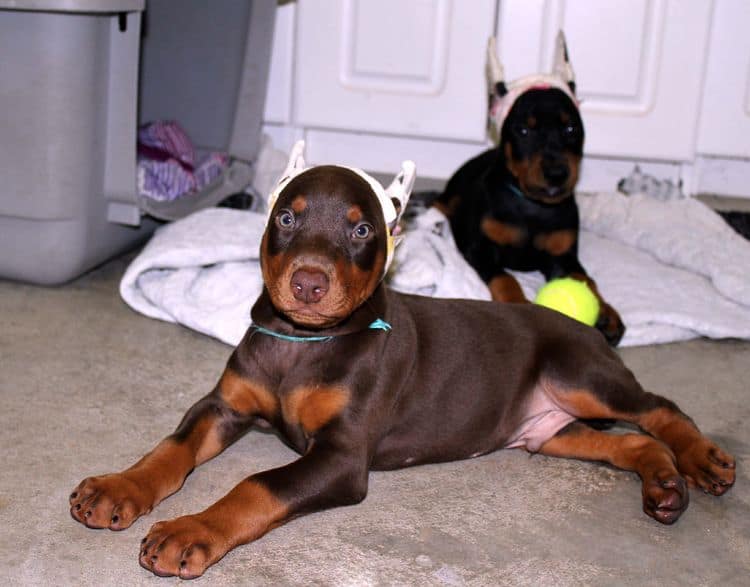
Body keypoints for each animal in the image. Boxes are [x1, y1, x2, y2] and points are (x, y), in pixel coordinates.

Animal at [67, 144, 736, 580]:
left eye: (363, 229)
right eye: (286, 216)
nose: (308, 283)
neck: (302, 345)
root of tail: (590, 333)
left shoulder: (342, 457)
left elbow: (257, 485)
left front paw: (191, 531)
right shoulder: (225, 404)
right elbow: (172, 448)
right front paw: (119, 487)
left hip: (580, 375)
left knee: (657, 408)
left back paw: (700, 460)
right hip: (549, 432)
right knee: (629, 442)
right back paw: (665, 486)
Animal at [438, 33, 624, 344]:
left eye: (571, 129)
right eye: (524, 131)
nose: (557, 174)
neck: (532, 207)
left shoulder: (563, 256)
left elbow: (586, 278)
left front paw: (606, 311)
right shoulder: (480, 248)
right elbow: (505, 277)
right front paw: (517, 305)